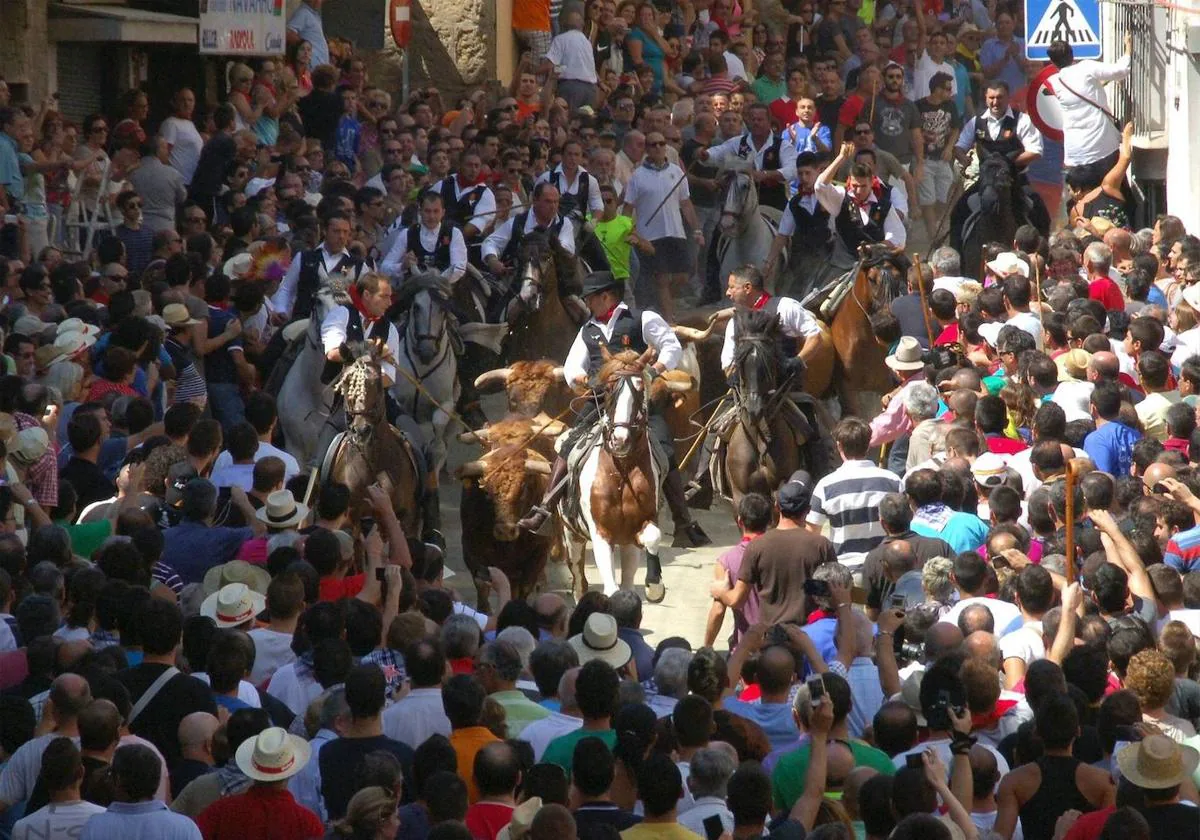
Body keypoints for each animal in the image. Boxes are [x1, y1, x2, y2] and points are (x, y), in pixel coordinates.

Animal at [326, 350, 424, 537]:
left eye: (378, 383)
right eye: (347, 383)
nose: (362, 431)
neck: (373, 462)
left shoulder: (406, 515)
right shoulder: (351, 518)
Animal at [556, 345, 691, 597]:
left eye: (640, 389)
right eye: (609, 389)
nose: (620, 440)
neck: (621, 472)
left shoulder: (639, 527)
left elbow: (652, 537)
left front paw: (654, 583)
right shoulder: (600, 534)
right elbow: (611, 589)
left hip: (625, 546)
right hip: (572, 536)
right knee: (580, 582)